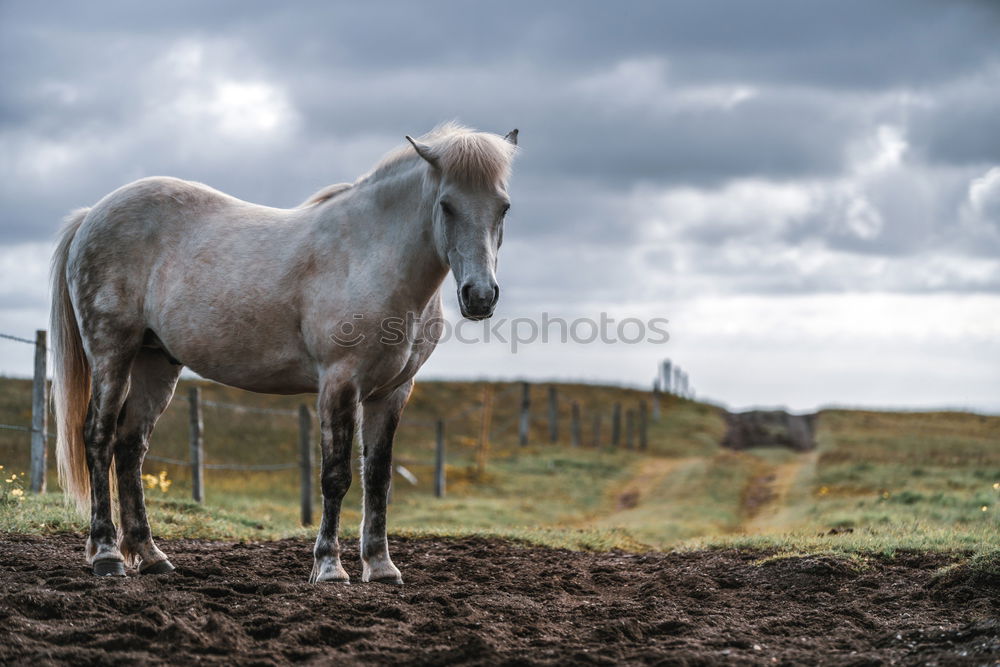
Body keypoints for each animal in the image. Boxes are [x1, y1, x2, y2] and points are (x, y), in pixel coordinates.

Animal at [49, 122, 520, 580]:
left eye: (504, 207)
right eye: (446, 205)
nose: (480, 296)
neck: (369, 256)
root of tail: (92, 215)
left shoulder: (393, 392)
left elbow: (378, 478)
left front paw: (381, 566)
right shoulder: (339, 383)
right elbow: (336, 476)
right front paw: (329, 567)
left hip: (156, 363)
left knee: (130, 448)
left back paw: (150, 556)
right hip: (112, 353)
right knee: (98, 438)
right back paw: (107, 555)